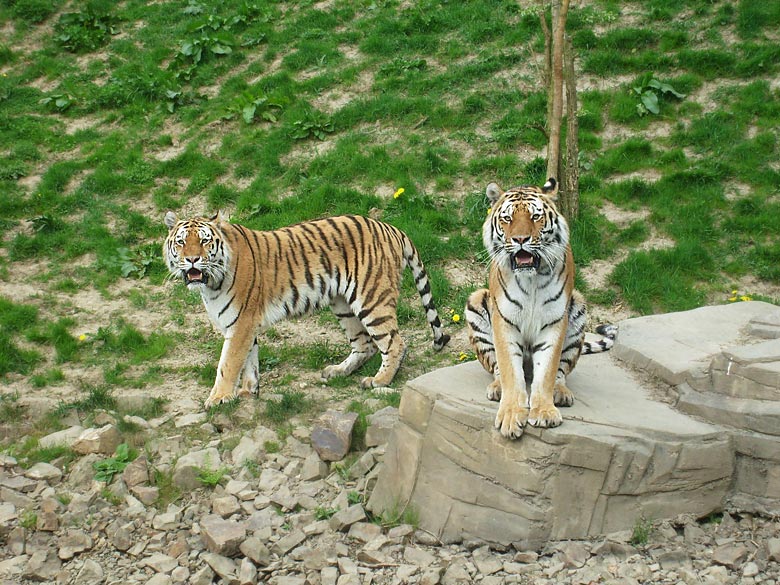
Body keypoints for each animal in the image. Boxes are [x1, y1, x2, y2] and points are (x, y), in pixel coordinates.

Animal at [163, 212, 450, 408]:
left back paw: (379, 381)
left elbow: (228, 364)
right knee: (365, 345)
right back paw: (337, 371)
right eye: (181, 242)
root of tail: (391, 227)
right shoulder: (244, 324)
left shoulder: (241, 322)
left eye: (204, 241)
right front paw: (248, 391)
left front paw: (218, 398)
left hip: (372, 299)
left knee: (395, 343)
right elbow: (249, 361)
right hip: (343, 304)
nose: (192, 259)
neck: (210, 283)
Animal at [464, 178, 616, 438]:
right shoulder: (504, 321)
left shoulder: (554, 321)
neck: (531, 279)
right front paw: (511, 415)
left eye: (535, 217)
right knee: (496, 368)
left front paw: (544, 412)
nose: (520, 239)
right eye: (507, 218)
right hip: (476, 301)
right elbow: (509, 370)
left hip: (579, 306)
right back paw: (497, 388)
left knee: (561, 372)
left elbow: (547, 370)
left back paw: (561, 393)